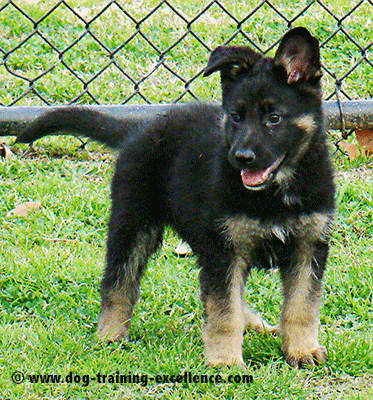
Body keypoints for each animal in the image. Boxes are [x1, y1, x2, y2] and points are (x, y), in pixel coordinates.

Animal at [20, 26, 334, 368]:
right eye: (236, 116)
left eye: (274, 118)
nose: (241, 158)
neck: (276, 194)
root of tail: (140, 129)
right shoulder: (224, 249)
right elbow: (225, 311)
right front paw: (225, 361)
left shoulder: (308, 246)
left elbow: (301, 307)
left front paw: (301, 350)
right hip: (132, 224)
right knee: (118, 283)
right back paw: (110, 335)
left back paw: (256, 325)